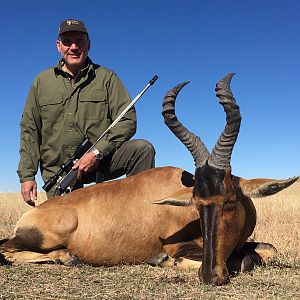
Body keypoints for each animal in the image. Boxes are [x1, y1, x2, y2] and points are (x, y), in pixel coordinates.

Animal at [0, 73, 296, 286]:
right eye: (196, 203)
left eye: (230, 199)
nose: (211, 276)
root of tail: (32, 213)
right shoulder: (179, 247)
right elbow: (242, 261)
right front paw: (163, 262)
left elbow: (265, 251)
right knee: (7, 250)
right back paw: (67, 258)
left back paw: (68, 257)